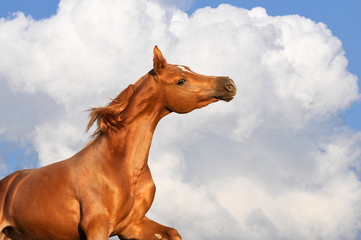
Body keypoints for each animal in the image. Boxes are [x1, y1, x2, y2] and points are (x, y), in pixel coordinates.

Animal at [0, 46, 236, 239]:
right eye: (181, 80)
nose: (229, 84)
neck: (120, 166)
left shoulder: (132, 226)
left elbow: (173, 233)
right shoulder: (97, 227)